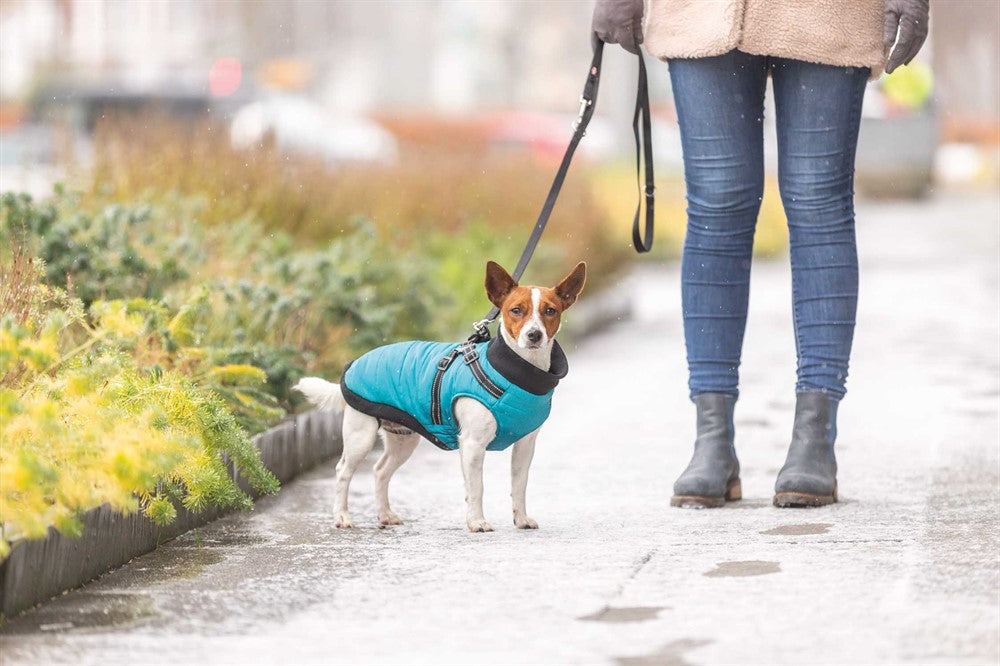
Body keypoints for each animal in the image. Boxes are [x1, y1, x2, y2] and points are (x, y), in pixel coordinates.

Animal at [292, 258, 584, 528]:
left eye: (550, 311)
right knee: (343, 471)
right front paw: (477, 521)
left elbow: (519, 485)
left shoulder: (525, 445)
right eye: (516, 310)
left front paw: (520, 518)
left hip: (403, 439)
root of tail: (354, 363)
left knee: (380, 470)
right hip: (360, 436)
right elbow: (477, 488)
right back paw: (342, 516)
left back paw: (385, 514)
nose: (534, 335)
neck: (517, 371)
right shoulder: (473, 444)